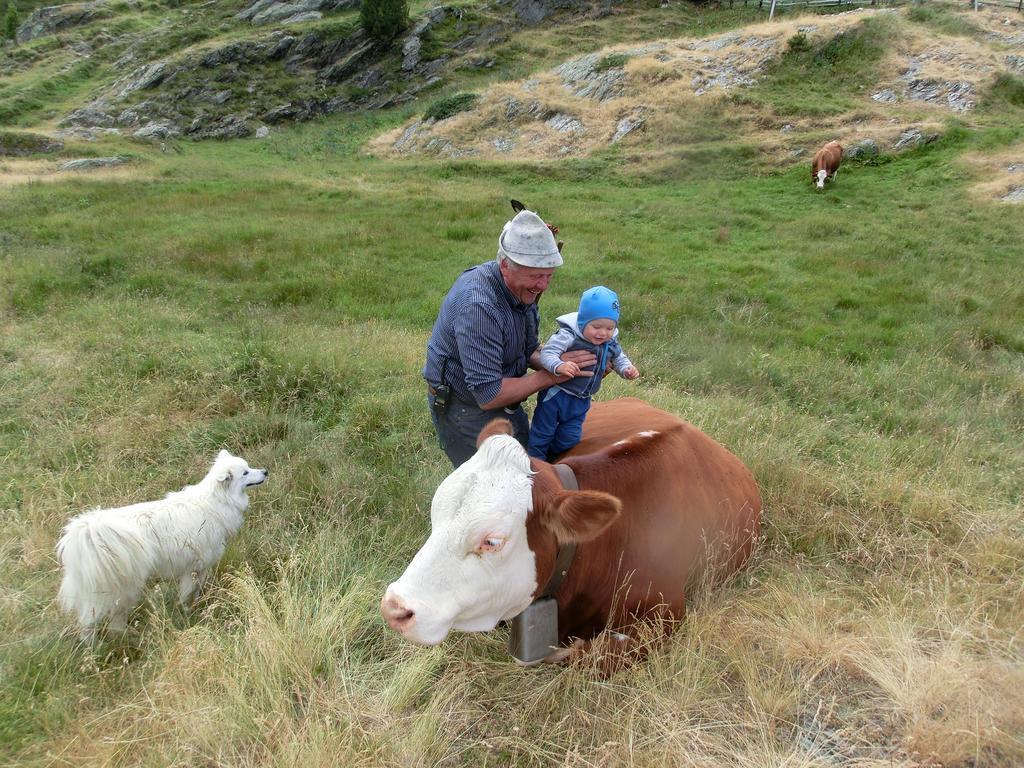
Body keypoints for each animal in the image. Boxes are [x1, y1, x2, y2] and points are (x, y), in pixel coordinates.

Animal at [56, 450, 268, 643]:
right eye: (245, 473)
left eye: (249, 467)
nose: (265, 471)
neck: (215, 501)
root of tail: (89, 532)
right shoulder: (195, 567)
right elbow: (189, 593)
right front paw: (189, 612)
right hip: (119, 591)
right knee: (91, 621)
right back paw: (95, 646)